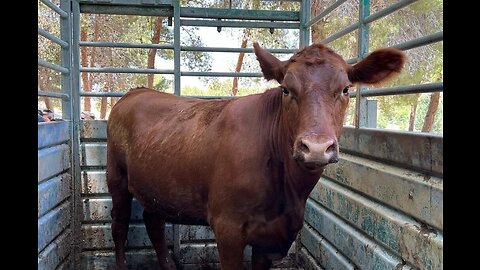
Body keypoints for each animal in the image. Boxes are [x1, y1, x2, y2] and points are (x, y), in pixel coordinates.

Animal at [107, 41, 404, 268]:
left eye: (345, 89)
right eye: (286, 89)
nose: (316, 147)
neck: (288, 193)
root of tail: (136, 91)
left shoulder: (269, 237)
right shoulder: (227, 228)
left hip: (154, 186)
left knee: (153, 223)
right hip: (117, 178)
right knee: (119, 227)